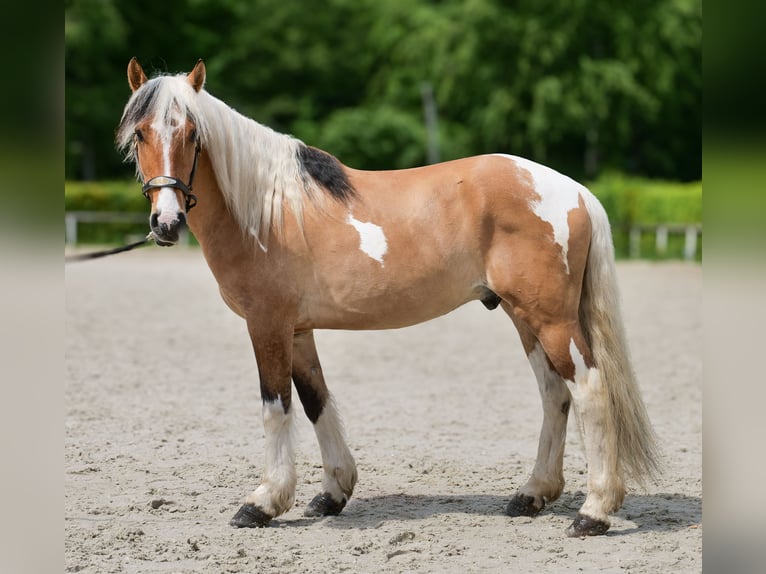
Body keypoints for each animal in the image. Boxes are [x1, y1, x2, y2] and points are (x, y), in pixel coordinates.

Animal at [117, 58, 660, 537]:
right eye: (140, 134)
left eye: (193, 134)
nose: (167, 222)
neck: (267, 209)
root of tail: (575, 191)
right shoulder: (298, 329)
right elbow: (315, 400)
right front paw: (332, 493)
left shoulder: (267, 323)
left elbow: (276, 406)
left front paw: (263, 502)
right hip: (524, 317)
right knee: (553, 394)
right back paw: (531, 495)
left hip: (551, 320)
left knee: (589, 389)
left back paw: (593, 512)